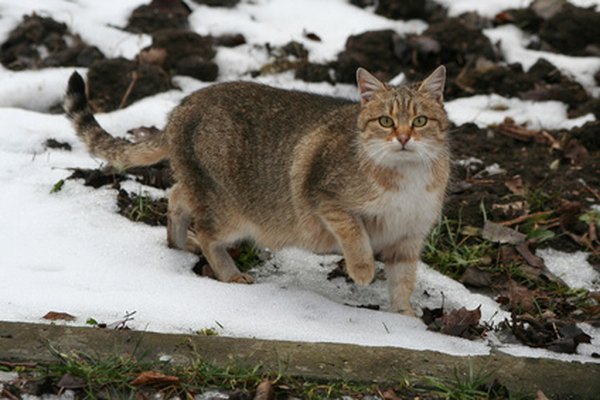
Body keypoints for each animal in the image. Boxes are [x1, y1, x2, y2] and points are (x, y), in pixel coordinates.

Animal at [65, 65, 450, 316]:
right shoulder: (327, 199)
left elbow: (404, 281)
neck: (406, 179)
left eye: (420, 121)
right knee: (208, 232)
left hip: (201, 186)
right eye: (386, 121)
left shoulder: (409, 238)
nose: (404, 138)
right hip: (230, 210)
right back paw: (228, 272)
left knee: (177, 194)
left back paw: (179, 242)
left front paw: (405, 317)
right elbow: (356, 236)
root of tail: (182, 108)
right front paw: (363, 271)